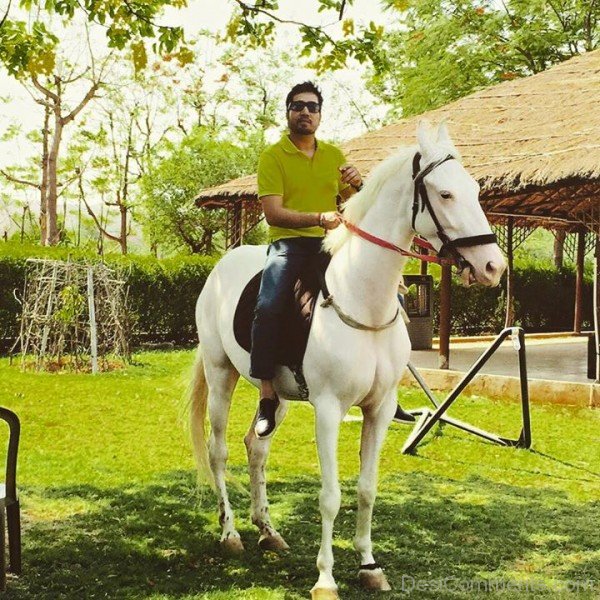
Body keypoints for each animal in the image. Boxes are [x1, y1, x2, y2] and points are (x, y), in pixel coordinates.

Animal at [189, 120, 506, 596]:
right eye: (446, 194)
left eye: (475, 189)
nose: (493, 266)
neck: (362, 299)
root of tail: (220, 268)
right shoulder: (328, 410)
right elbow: (330, 495)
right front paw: (325, 578)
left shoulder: (380, 409)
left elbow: (367, 489)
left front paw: (369, 565)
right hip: (220, 373)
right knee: (219, 450)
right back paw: (230, 533)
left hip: (277, 398)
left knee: (256, 446)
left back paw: (268, 530)